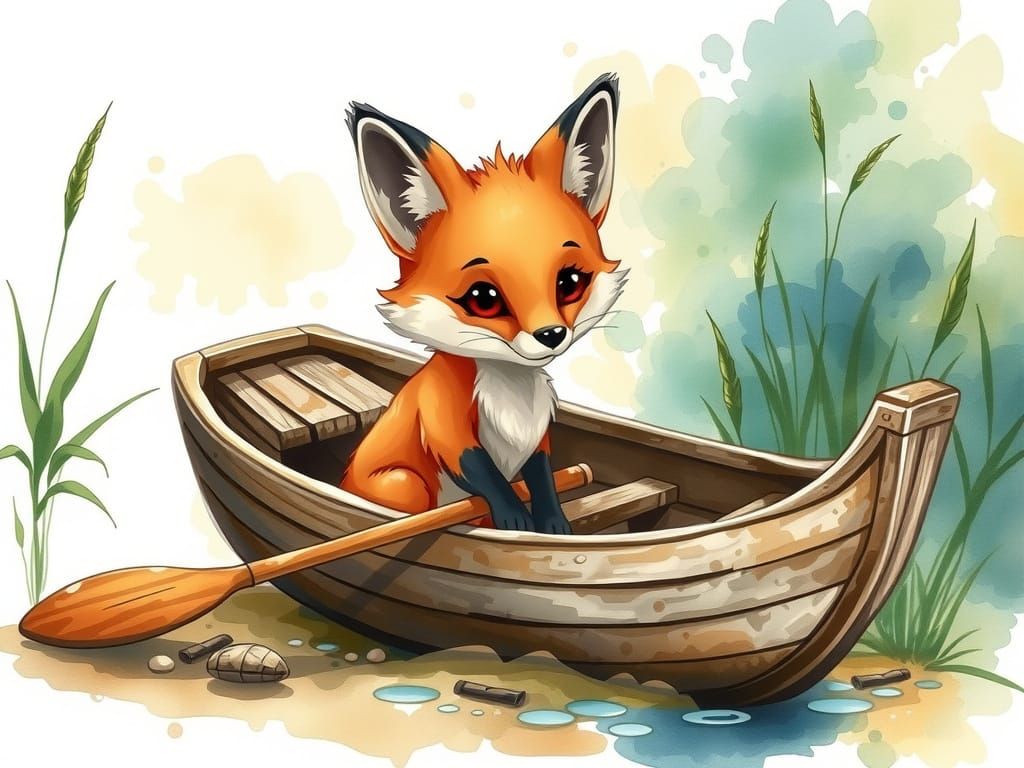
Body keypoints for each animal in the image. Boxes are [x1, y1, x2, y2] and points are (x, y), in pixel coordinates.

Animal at [340, 74, 626, 533]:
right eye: (483, 299)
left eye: (569, 282)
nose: (552, 334)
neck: (511, 392)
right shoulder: (444, 421)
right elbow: (484, 473)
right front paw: (516, 519)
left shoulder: (537, 435)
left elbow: (542, 476)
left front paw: (551, 522)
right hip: (405, 484)